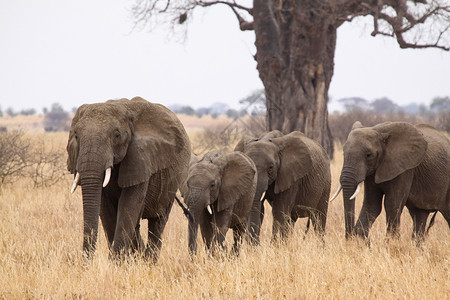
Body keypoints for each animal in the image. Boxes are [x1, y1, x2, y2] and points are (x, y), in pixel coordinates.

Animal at [65, 97, 190, 258]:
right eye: (76, 136)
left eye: (117, 135)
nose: (85, 261)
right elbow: (107, 212)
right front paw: (122, 259)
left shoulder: (141, 159)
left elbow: (128, 206)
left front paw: (116, 261)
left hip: (173, 183)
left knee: (157, 222)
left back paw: (148, 260)